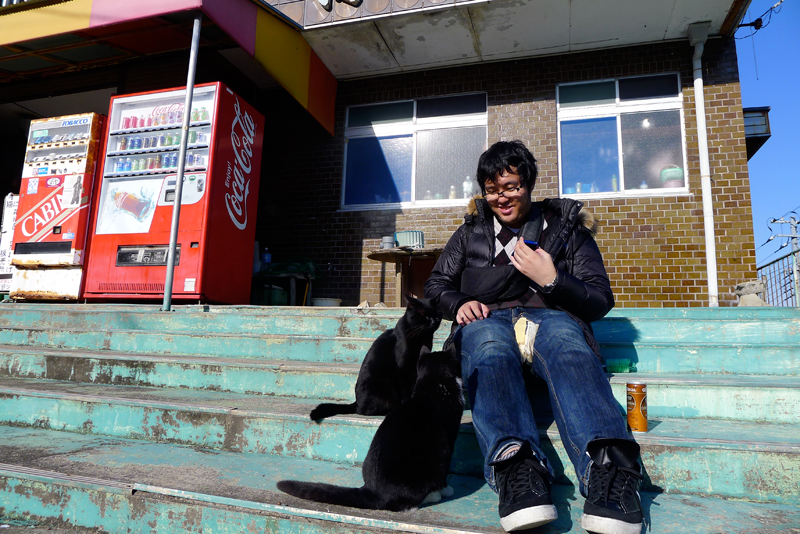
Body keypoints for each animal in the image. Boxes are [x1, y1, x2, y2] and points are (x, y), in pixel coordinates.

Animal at [276, 346, 462, 512]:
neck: (435, 384)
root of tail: (373, 492)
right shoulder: (450, 438)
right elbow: (446, 471)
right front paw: (446, 490)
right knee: (406, 504)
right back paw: (433, 496)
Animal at [308, 298, 444, 422]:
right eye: (425, 316)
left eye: (437, 316)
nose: (434, 322)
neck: (422, 337)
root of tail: (356, 402)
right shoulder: (404, 369)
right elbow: (405, 391)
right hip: (381, 387)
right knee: (365, 410)